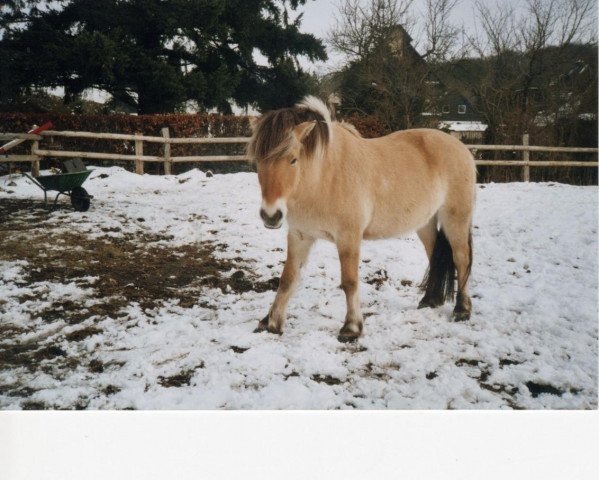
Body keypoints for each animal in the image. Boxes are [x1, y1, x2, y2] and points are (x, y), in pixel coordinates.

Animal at [246, 95, 476, 342]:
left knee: (461, 258)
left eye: (293, 160)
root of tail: (462, 149)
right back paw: (430, 300)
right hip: (426, 223)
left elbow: (349, 281)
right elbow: (288, 278)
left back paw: (462, 310)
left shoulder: (348, 237)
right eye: (258, 161)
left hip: (456, 219)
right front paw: (271, 323)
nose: (271, 215)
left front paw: (351, 328)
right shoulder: (300, 236)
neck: (323, 178)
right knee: (434, 256)